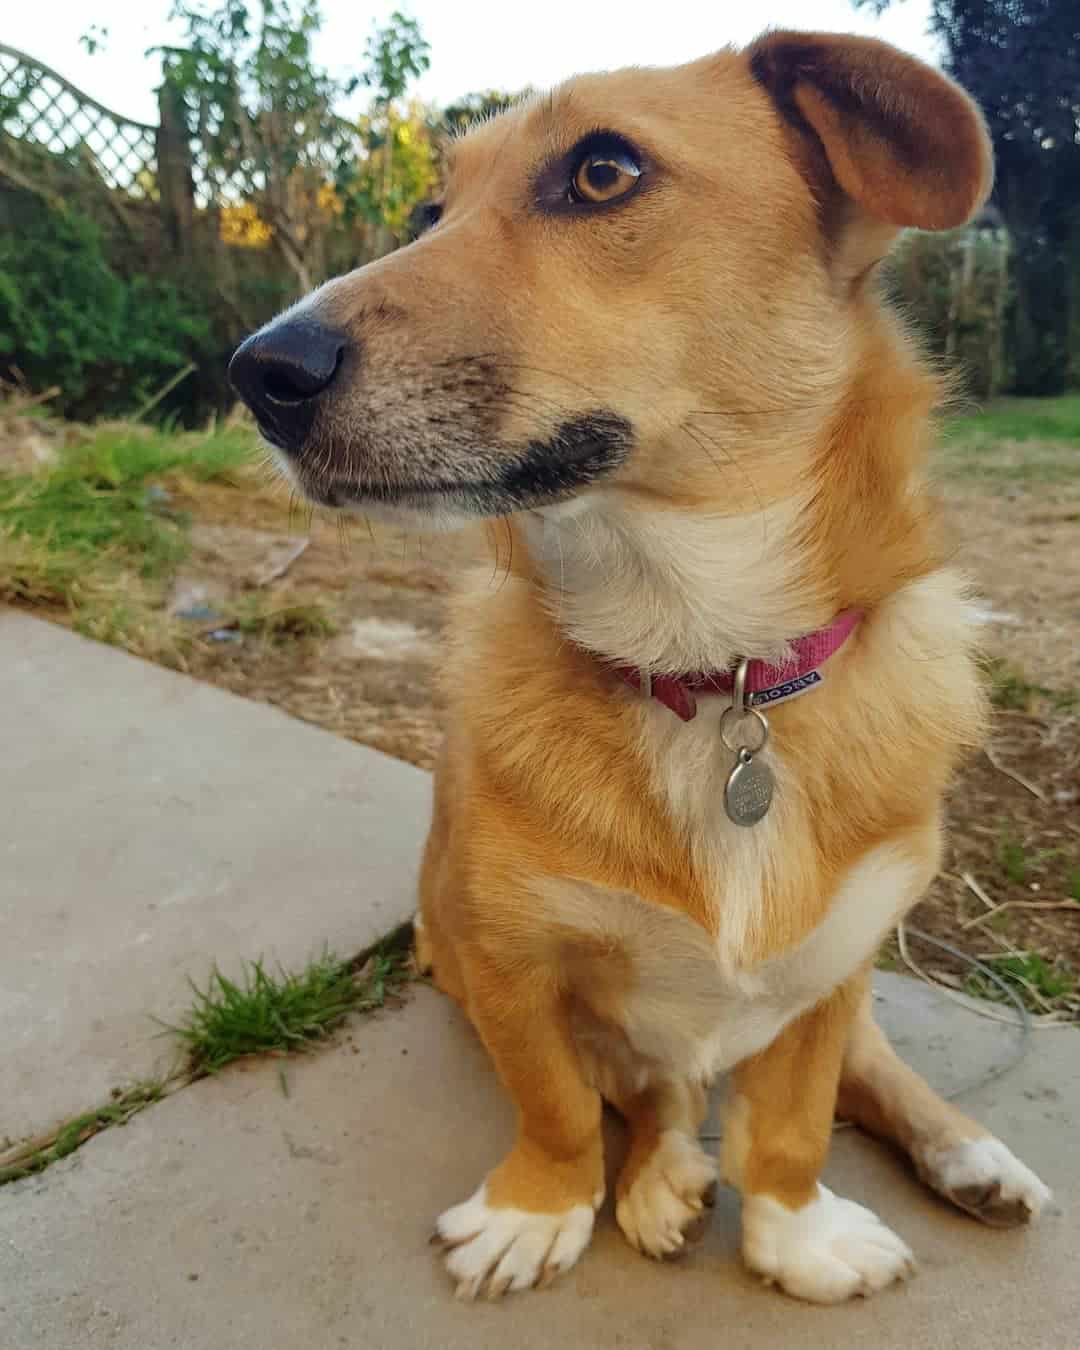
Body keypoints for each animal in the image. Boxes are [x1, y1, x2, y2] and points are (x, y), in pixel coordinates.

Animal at [232, 31, 1053, 1306]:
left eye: (603, 172)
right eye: (428, 209)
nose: (260, 370)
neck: (710, 671)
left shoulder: (831, 967)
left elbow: (796, 1122)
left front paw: (795, 1234)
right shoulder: (502, 961)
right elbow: (566, 1105)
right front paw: (542, 1209)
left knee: (862, 1062)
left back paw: (968, 1155)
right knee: (654, 1090)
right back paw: (666, 1171)